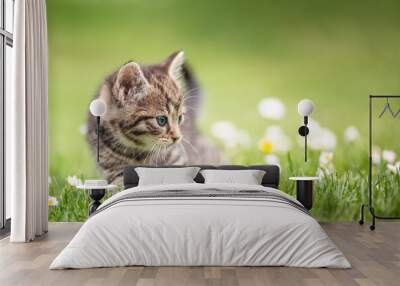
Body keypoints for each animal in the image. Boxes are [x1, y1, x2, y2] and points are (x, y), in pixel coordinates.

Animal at [87, 51, 223, 184]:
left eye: (179, 118)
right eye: (161, 120)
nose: (177, 138)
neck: (138, 152)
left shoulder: (176, 158)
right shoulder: (114, 170)